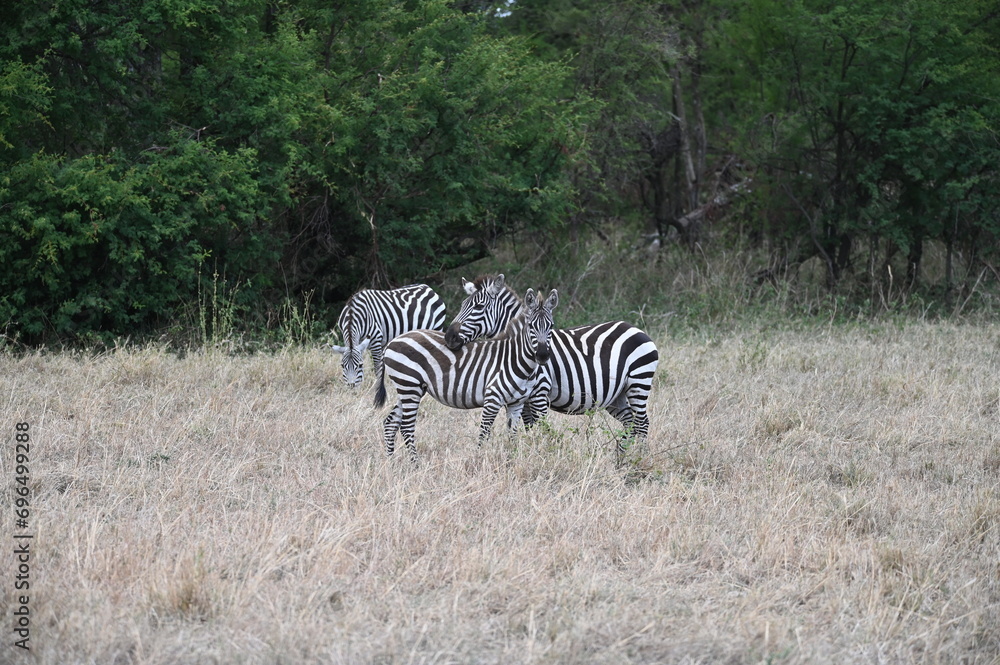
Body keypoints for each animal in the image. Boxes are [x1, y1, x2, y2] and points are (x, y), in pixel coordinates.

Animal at [376, 288, 560, 464]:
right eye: (531, 327)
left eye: (551, 326)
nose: (543, 355)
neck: (516, 360)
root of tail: (393, 341)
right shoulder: (492, 399)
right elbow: (483, 434)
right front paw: (478, 460)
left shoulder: (516, 404)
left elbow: (512, 436)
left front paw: (510, 460)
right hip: (409, 385)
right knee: (406, 427)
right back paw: (415, 464)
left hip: (409, 388)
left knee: (391, 423)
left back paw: (391, 463)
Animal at [446, 272, 656, 464]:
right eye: (462, 305)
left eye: (478, 307)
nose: (449, 337)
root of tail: (636, 328)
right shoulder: (521, 397)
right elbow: (526, 427)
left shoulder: (539, 392)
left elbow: (538, 427)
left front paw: (541, 456)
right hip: (617, 394)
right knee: (630, 422)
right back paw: (621, 459)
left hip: (639, 382)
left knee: (642, 423)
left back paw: (641, 459)